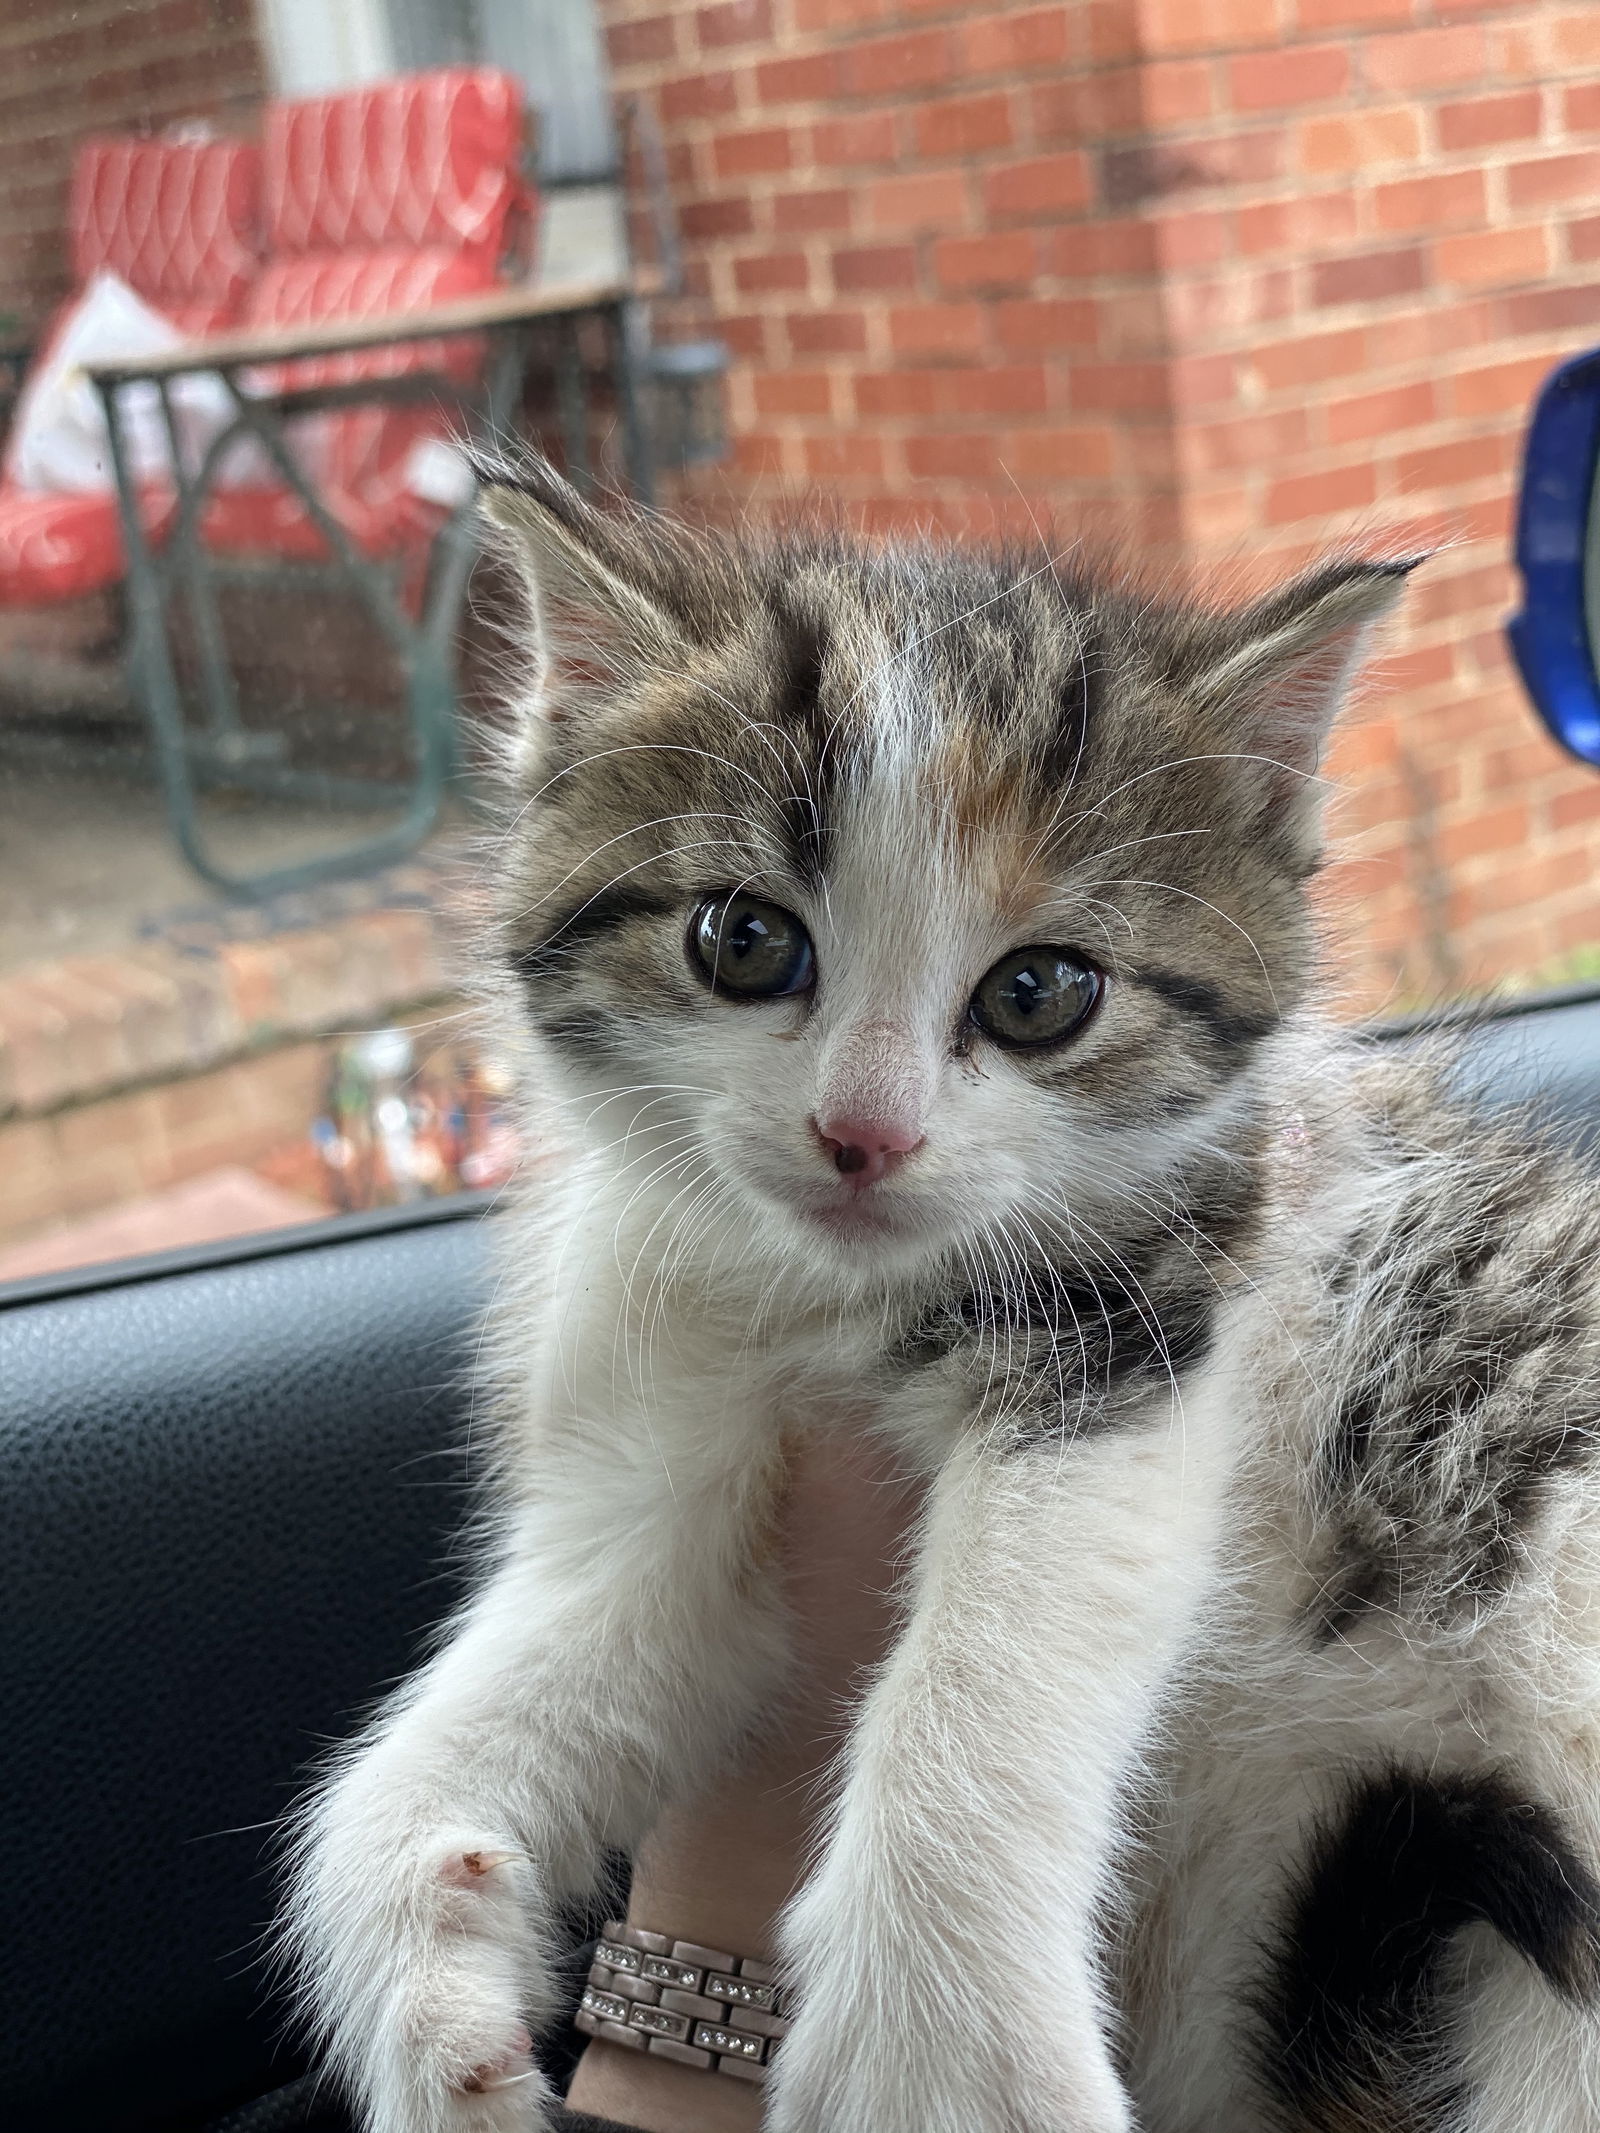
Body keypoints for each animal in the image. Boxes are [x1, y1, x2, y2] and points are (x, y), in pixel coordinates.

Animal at [281, 467, 1600, 2133]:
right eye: (743, 939)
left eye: (1041, 993)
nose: (865, 1134)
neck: (826, 1297)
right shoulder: (657, 1422)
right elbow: (586, 1636)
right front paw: (428, 1985)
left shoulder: (1151, 1315)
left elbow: (1011, 1637)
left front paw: (941, 2043)